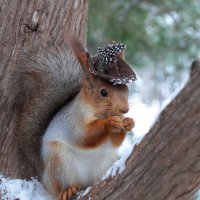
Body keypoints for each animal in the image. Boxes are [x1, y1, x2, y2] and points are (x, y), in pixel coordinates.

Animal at [10, 37, 137, 200]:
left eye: (126, 90)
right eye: (103, 92)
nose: (125, 110)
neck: (100, 113)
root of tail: (44, 175)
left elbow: (114, 142)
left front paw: (129, 122)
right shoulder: (73, 120)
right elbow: (84, 137)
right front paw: (109, 123)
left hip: (105, 162)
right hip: (59, 163)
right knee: (59, 188)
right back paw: (67, 190)